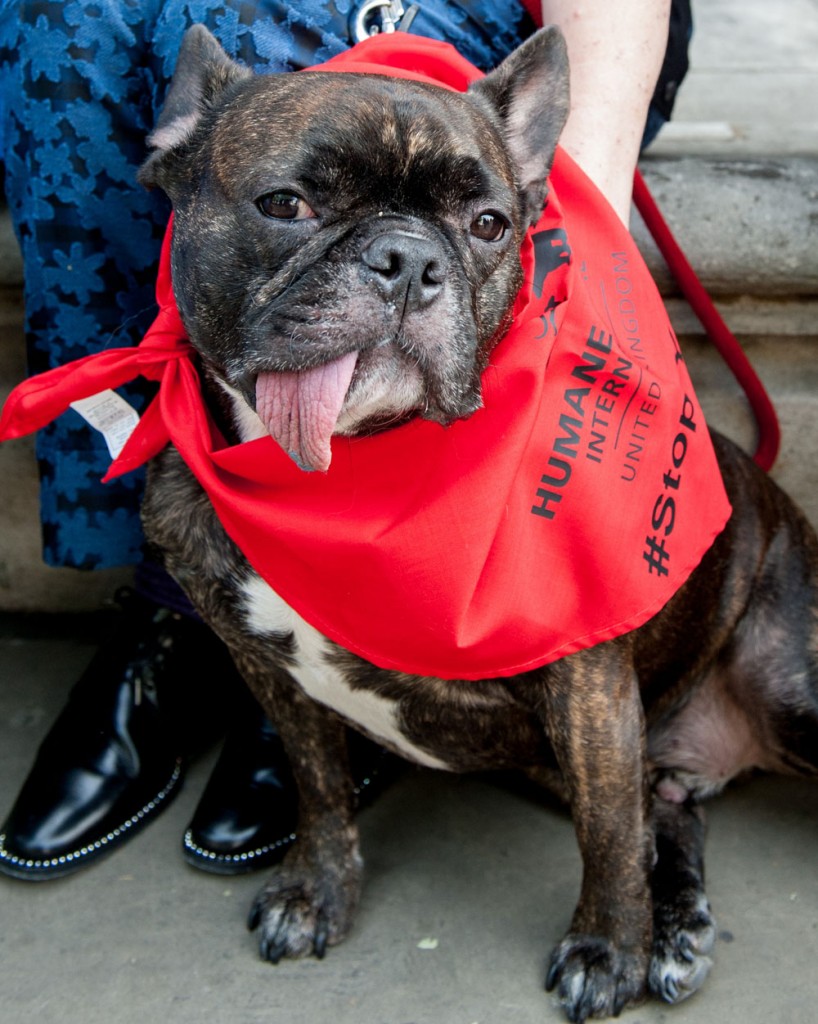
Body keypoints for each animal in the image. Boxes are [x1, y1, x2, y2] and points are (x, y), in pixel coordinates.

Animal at [134, 24, 818, 1024]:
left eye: (491, 225)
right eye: (285, 203)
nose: (409, 260)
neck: (353, 474)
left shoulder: (589, 686)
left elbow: (607, 835)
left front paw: (607, 948)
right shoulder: (267, 668)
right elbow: (316, 781)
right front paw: (317, 888)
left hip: (786, 688)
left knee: (644, 815)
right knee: (667, 814)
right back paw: (680, 926)